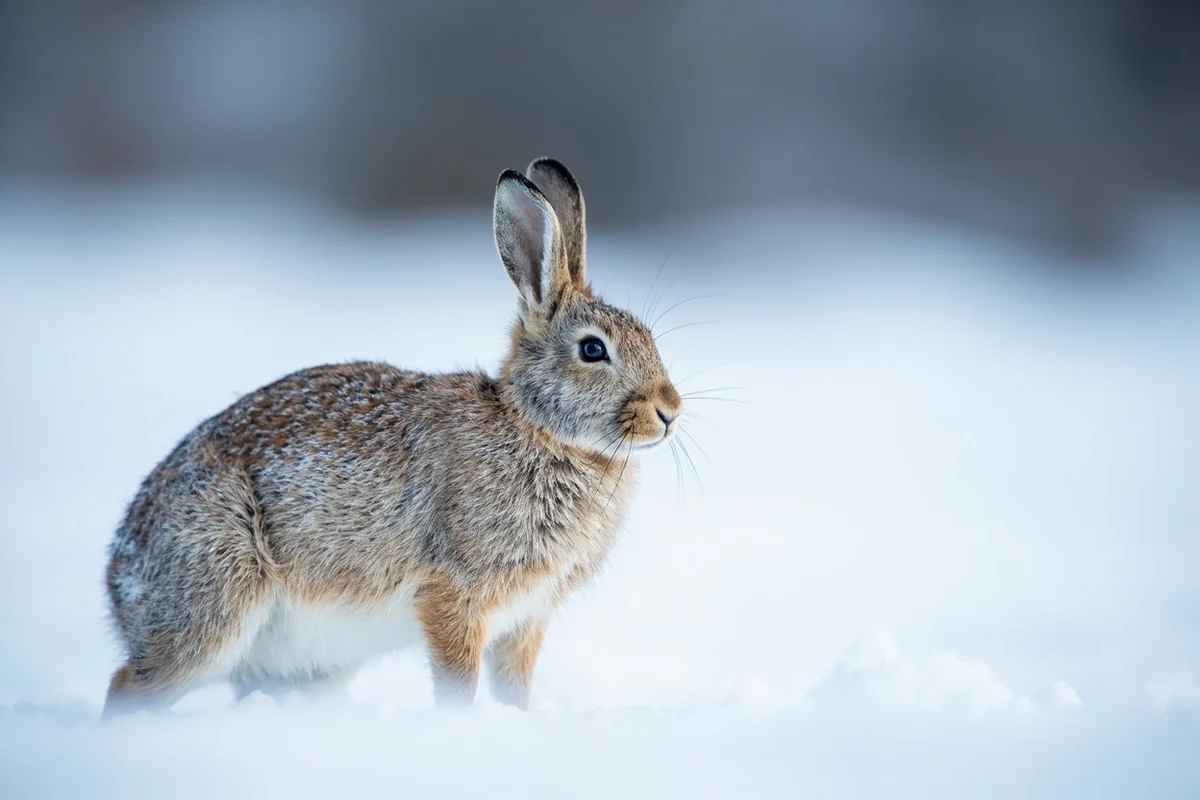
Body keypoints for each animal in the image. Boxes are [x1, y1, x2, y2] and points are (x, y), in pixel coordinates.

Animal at [102, 158, 683, 719]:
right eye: (593, 350)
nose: (669, 411)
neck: (538, 430)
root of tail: (118, 579)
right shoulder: (453, 596)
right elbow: (458, 683)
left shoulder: (526, 617)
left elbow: (512, 687)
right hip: (217, 595)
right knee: (130, 684)